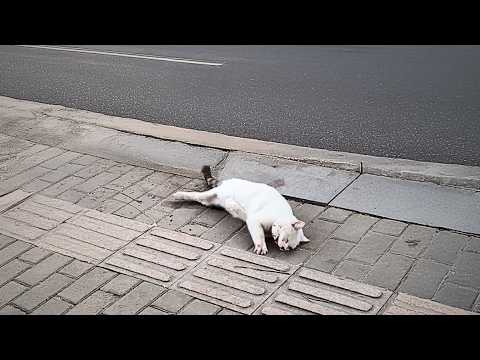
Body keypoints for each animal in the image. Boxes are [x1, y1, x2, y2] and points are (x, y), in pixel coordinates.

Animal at [172, 165, 312, 253]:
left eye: (289, 248)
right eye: (285, 240)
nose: (283, 248)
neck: (280, 215)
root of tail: (225, 182)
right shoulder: (255, 219)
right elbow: (258, 233)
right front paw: (261, 245)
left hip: (213, 201)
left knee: (207, 201)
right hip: (215, 193)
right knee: (196, 195)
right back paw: (179, 195)